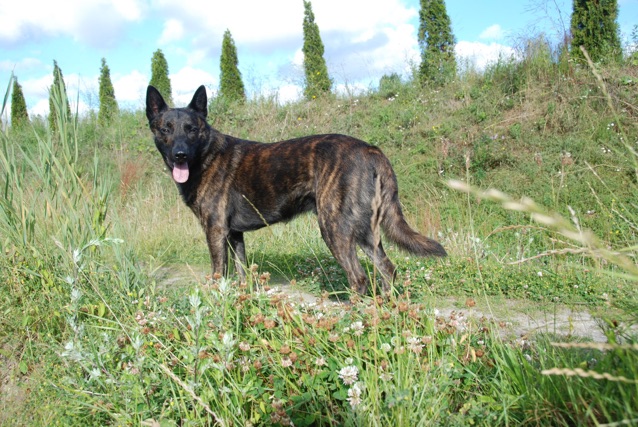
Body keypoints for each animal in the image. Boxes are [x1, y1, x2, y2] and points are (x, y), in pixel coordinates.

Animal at [146, 85, 446, 294]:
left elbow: (218, 275)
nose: (180, 155)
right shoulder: (234, 235)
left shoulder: (215, 231)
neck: (204, 156)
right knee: (387, 270)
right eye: (165, 129)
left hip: (334, 229)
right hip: (363, 232)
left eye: (191, 129)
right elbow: (242, 275)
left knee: (358, 278)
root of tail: (371, 149)